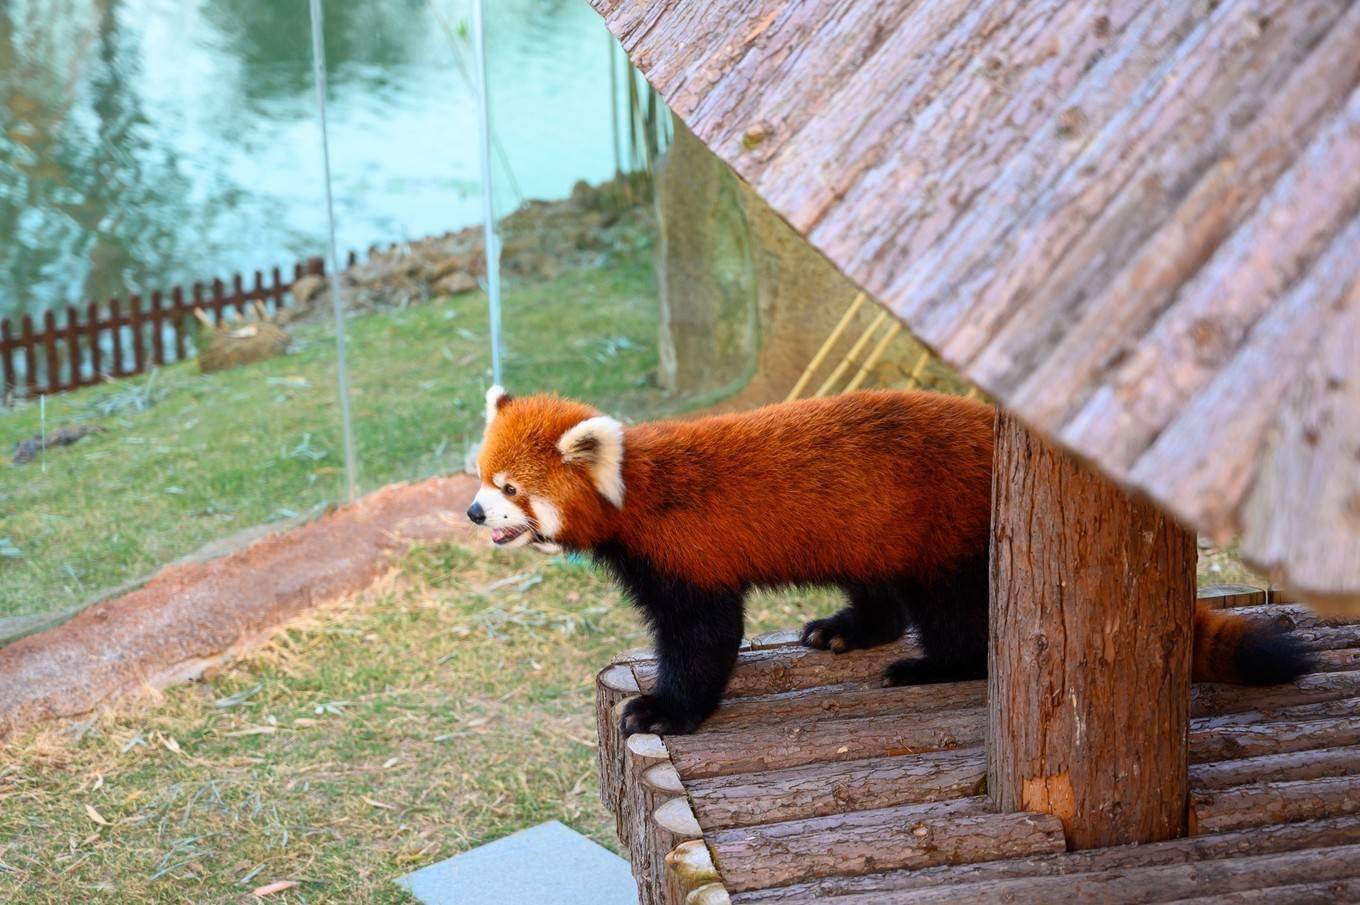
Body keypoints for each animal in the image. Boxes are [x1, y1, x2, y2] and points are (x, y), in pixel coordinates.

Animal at [473, 383, 1311, 729]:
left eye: (513, 488)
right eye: (479, 474)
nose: (477, 511)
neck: (637, 492)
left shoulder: (690, 556)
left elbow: (704, 641)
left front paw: (666, 709)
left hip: (949, 532)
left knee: (957, 617)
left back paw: (929, 665)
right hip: (875, 525)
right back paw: (846, 629)